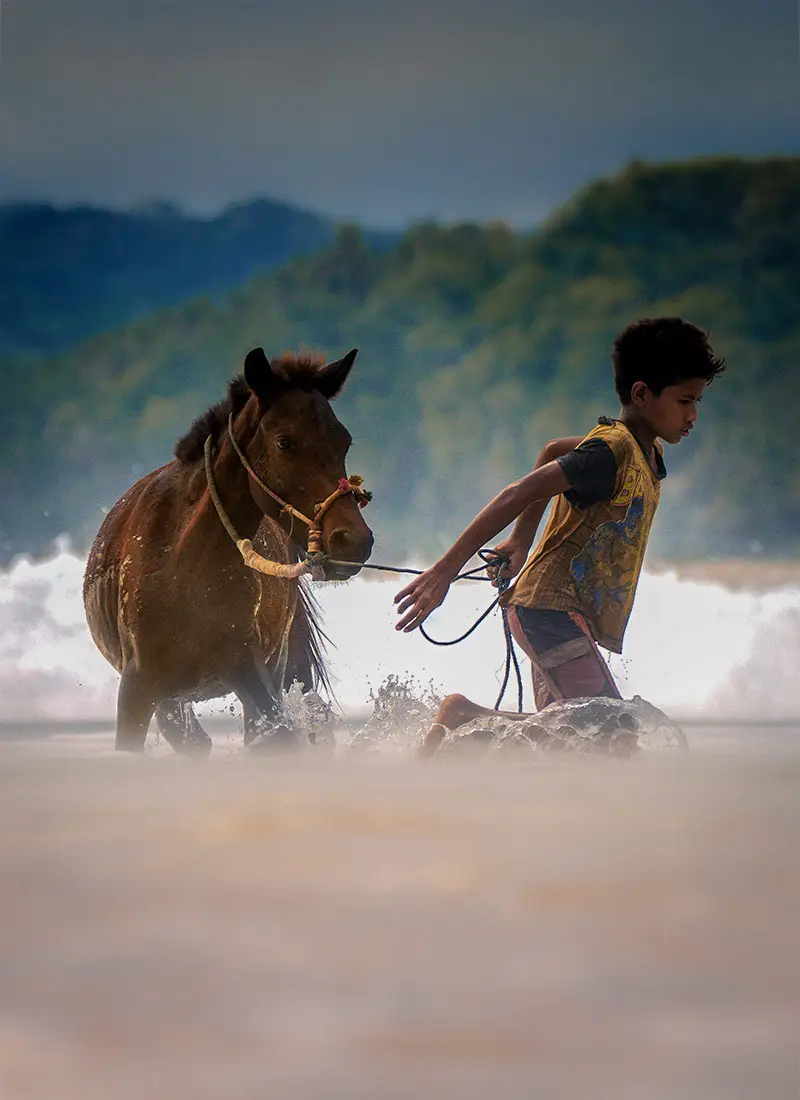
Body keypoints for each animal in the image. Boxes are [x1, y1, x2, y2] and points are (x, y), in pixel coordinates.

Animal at [83, 347, 374, 755]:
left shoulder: (252, 675)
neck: (182, 570)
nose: (354, 540)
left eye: (344, 442)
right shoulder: (137, 691)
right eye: (284, 442)